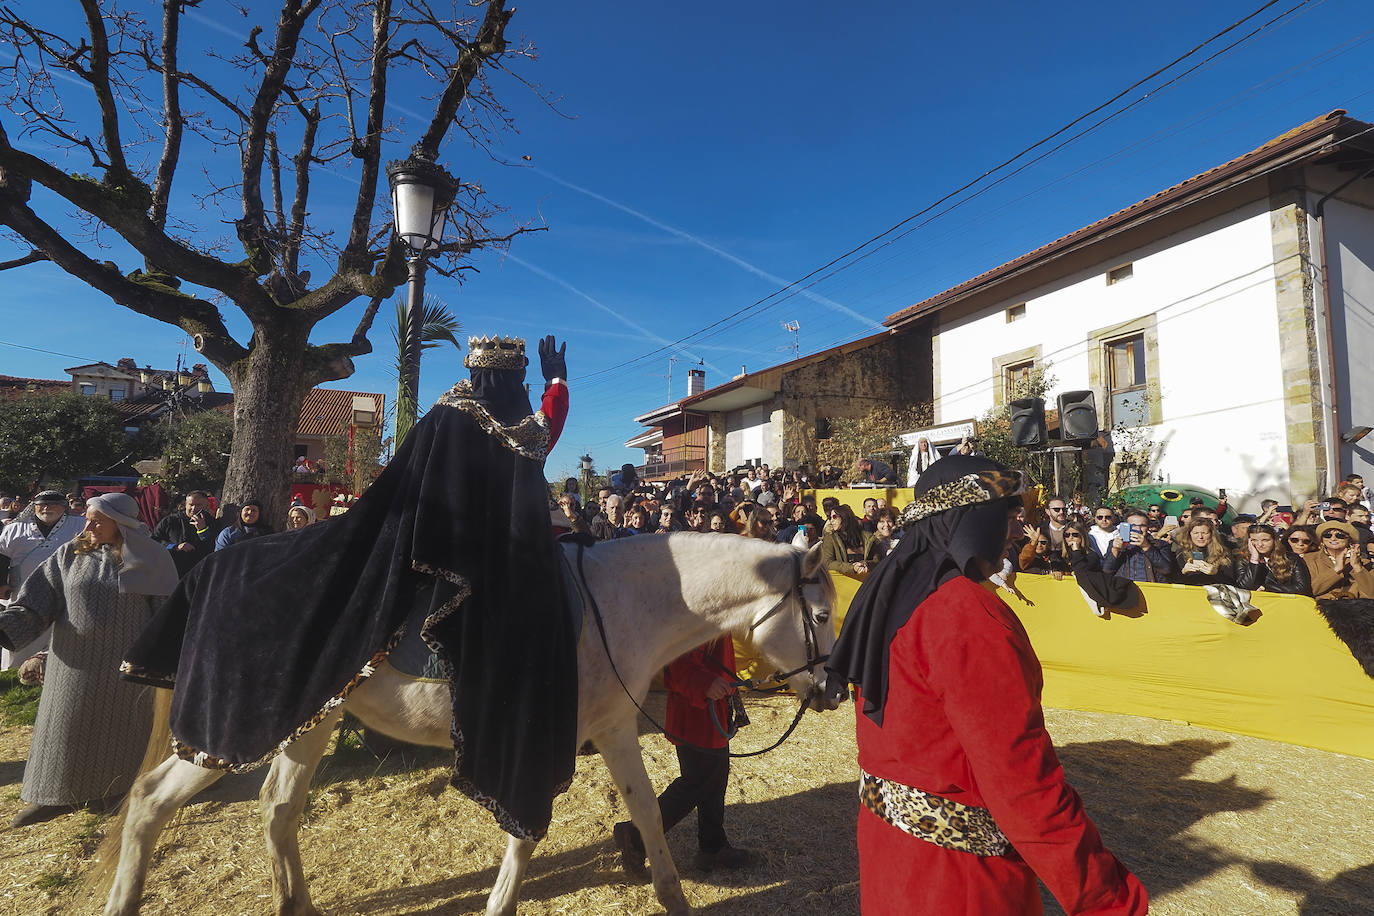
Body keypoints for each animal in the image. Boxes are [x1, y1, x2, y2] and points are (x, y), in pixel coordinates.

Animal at [99, 532, 835, 911]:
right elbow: (528, 834)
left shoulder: (613, 729)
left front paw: (671, 894)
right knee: (151, 801)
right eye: (824, 615)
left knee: (277, 809)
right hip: (239, 725)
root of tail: (209, 569)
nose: (831, 689)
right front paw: (502, 902)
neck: (618, 604)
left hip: (311, 724)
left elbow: (647, 810)